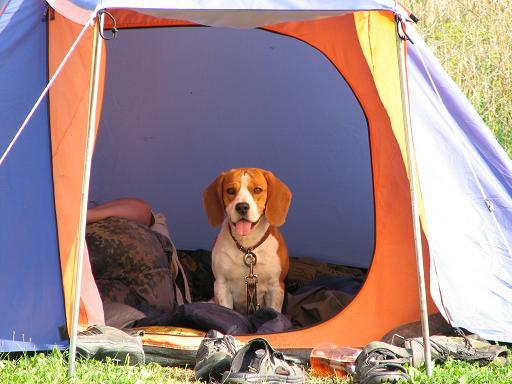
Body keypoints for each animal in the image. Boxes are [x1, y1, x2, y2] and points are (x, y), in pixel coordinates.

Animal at [204, 168, 292, 316]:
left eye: (257, 190)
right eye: (230, 190)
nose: (242, 207)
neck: (248, 246)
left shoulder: (276, 287)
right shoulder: (221, 285)